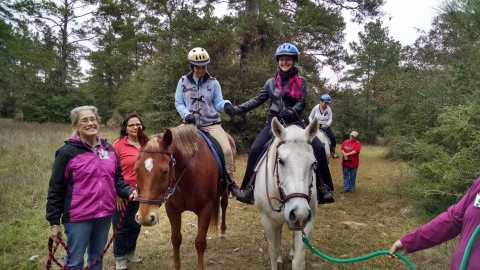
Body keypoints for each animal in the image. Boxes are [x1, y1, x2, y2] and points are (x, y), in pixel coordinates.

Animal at [135, 125, 232, 268]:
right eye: (135, 169)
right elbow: (176, 239)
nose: (144, 218)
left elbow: (200, 242)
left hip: (225, 191)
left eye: (165, 171)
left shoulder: (205, 209)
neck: (189, 172)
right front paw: (176, 266)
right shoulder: (172, 209)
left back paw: (223, 233)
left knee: (224, 205)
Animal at [255, 117, 318, 270]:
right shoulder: (267, 221)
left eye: (313, 163)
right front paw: (277, 259)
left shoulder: (307, 222)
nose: (299, 213)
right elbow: (273, 251)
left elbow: (298, 261)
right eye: (281, 161)